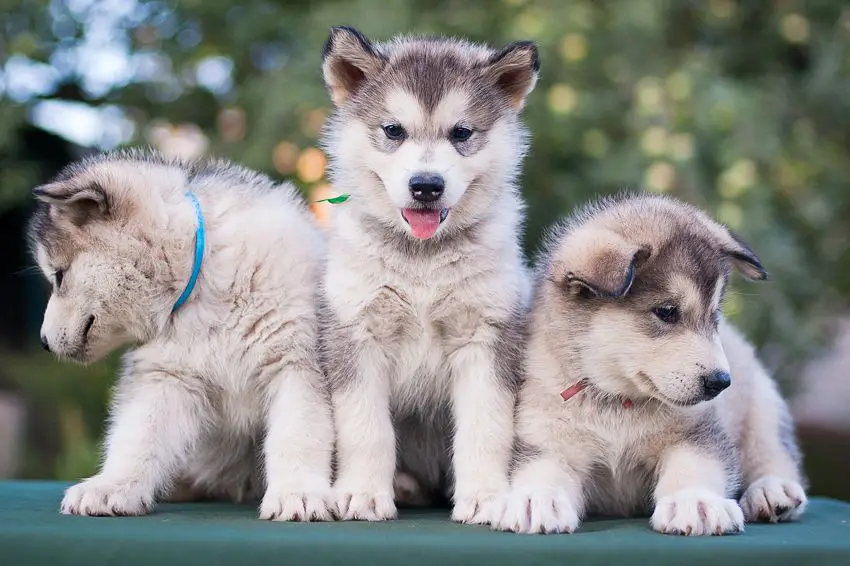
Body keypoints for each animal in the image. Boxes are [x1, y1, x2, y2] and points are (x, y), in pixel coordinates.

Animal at [27, 150, 332, 524]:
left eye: (58, 275)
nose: (43, 342)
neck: (201, 278)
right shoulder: (165, 374)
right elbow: (138, 434)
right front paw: (112, 485)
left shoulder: (295, 363)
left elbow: (298, 432)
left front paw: (298, 492)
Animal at [318, 26, 536, 524]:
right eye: (393, 130)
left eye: (462, 133)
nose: (426, 186)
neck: (422, 261)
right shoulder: (357, 334)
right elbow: (366, 429)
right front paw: (363, 493)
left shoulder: (486, 337)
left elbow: (484, 428)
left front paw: (486, 496)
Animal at [490, 194, 800, 536]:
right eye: (666, 312)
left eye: (714, 316)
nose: (721, 382)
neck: (618, 404)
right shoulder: (546, 440)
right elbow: (542, 470)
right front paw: (536, 499)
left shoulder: (698, 434)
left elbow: (693, 467)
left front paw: (694, 501)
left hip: (762, 405)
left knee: (772, 453)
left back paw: (771, 491)